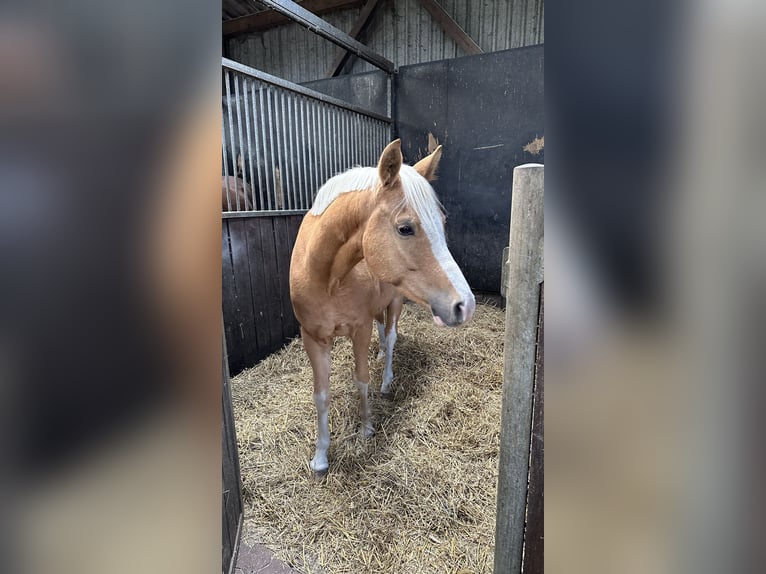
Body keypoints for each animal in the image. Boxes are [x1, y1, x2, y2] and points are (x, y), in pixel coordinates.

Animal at [292, 140, 476, 472]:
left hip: (395, 301)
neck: (326, 277)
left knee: (390, 337)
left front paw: (366, 428)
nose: (464, 305)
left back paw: (387, 378)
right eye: (405, 228)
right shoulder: (312, 337)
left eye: (442, 222)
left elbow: (362, 379)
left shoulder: (360, 329)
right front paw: (321, 456)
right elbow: (321, 395)